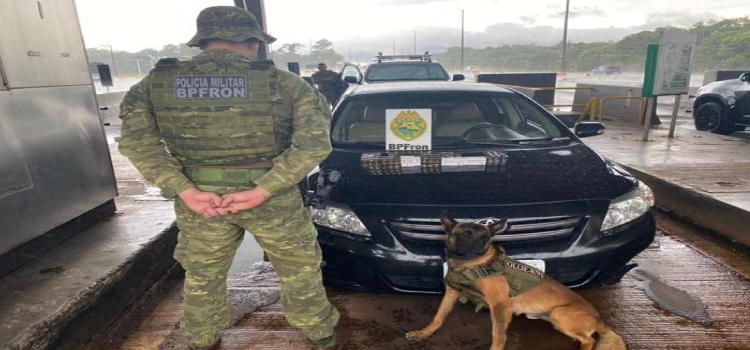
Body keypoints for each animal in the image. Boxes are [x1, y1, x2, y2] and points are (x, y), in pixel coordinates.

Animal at [406, 212, 628, 350]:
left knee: (590, 340)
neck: (471, 265)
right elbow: (438, 317)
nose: (479, 248)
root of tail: (599, 318)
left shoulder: (500, 305)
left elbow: (498, 334)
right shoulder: (451, 293)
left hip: (560, 314)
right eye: (465, 235)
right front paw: (423, 332)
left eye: (485, 237)